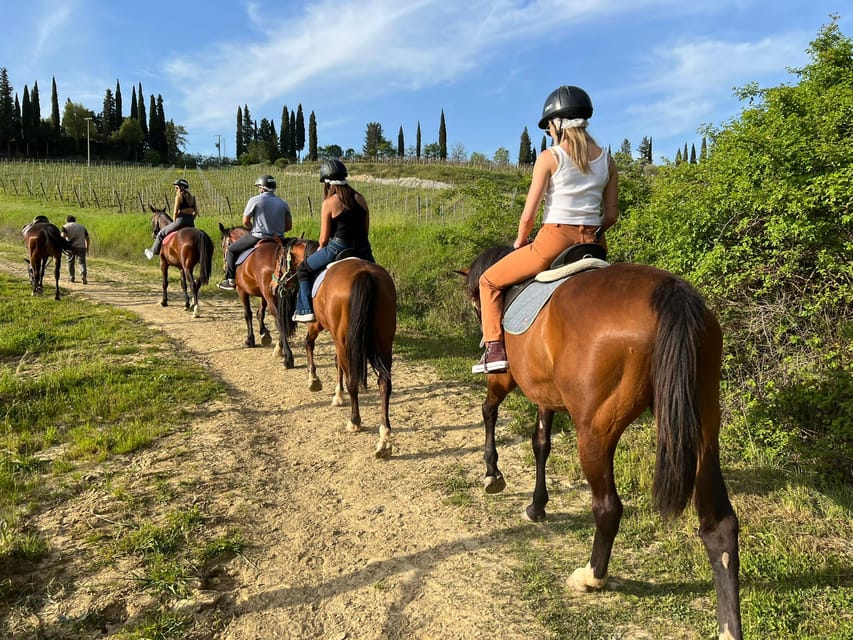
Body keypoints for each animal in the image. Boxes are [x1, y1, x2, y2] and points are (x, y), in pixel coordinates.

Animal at [218, 224, 298, 368]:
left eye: (224, 245)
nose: (224, 267)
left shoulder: (242, 291)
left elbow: (248, 314)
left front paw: (250, 340)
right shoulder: (263, 294)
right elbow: (260, 312)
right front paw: (264, 334)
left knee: (279, 319)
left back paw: (287, 356)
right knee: (284, 318)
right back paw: (279, 348)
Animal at [282, 242, 396, 458]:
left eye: (283, 260)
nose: (283, 283)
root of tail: (365, 274)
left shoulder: (318, 324)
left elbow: (309, 344)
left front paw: (314, 381)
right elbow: (336, 362)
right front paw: (337, 394)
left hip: (344, 339)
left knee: (353, 380)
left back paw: (354, 421)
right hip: (384, 341)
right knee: (384, 384)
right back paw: (384, 439)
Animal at [460, 248, 740, 640]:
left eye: (475, 299)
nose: (479, 339)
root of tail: (669, 292)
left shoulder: (505, 379)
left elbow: (489, 412)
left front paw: (492, 474)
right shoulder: (546, 395)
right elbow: (541, 444)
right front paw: (537, 506)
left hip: (595, 429)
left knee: (608, 508)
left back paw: (591, 576)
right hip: (701, 424)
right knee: (720, 525)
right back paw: (729, 624)